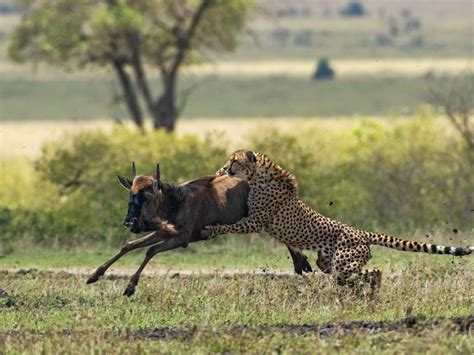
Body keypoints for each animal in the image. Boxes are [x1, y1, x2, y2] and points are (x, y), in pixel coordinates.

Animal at [202, 150, 472, 294]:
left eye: (235, 160)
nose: (227, 167)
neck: (259, 176)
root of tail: (361, 232)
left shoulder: (256, 222)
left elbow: (231, 226)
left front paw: (212, 228)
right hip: (328, 262)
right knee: (364, 273)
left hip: (343, 262)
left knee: (372, 272)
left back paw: (366, 294)